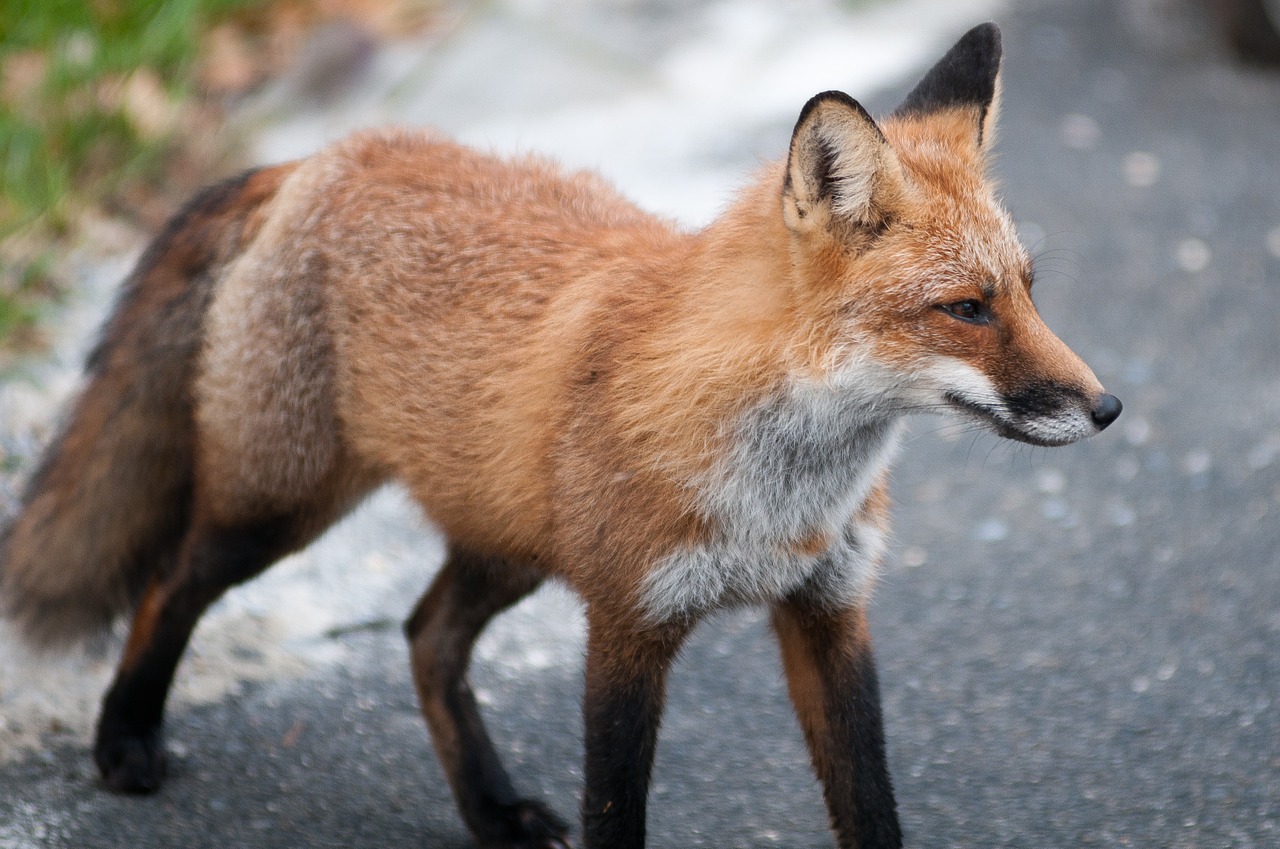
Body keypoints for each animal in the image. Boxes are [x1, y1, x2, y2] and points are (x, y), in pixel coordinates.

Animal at [0, 24, 1121, 849]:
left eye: (1027, 290)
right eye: (965, 309)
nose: (1106, 407)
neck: (780, 494)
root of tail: (323, 154)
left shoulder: (828, 612)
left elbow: (870, 803)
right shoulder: (627, 624)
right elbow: (615, 810)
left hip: (509, 541)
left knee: (424, 637)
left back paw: (491, 810)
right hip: (279, 508)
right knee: (168, 584)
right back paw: (125, 739)